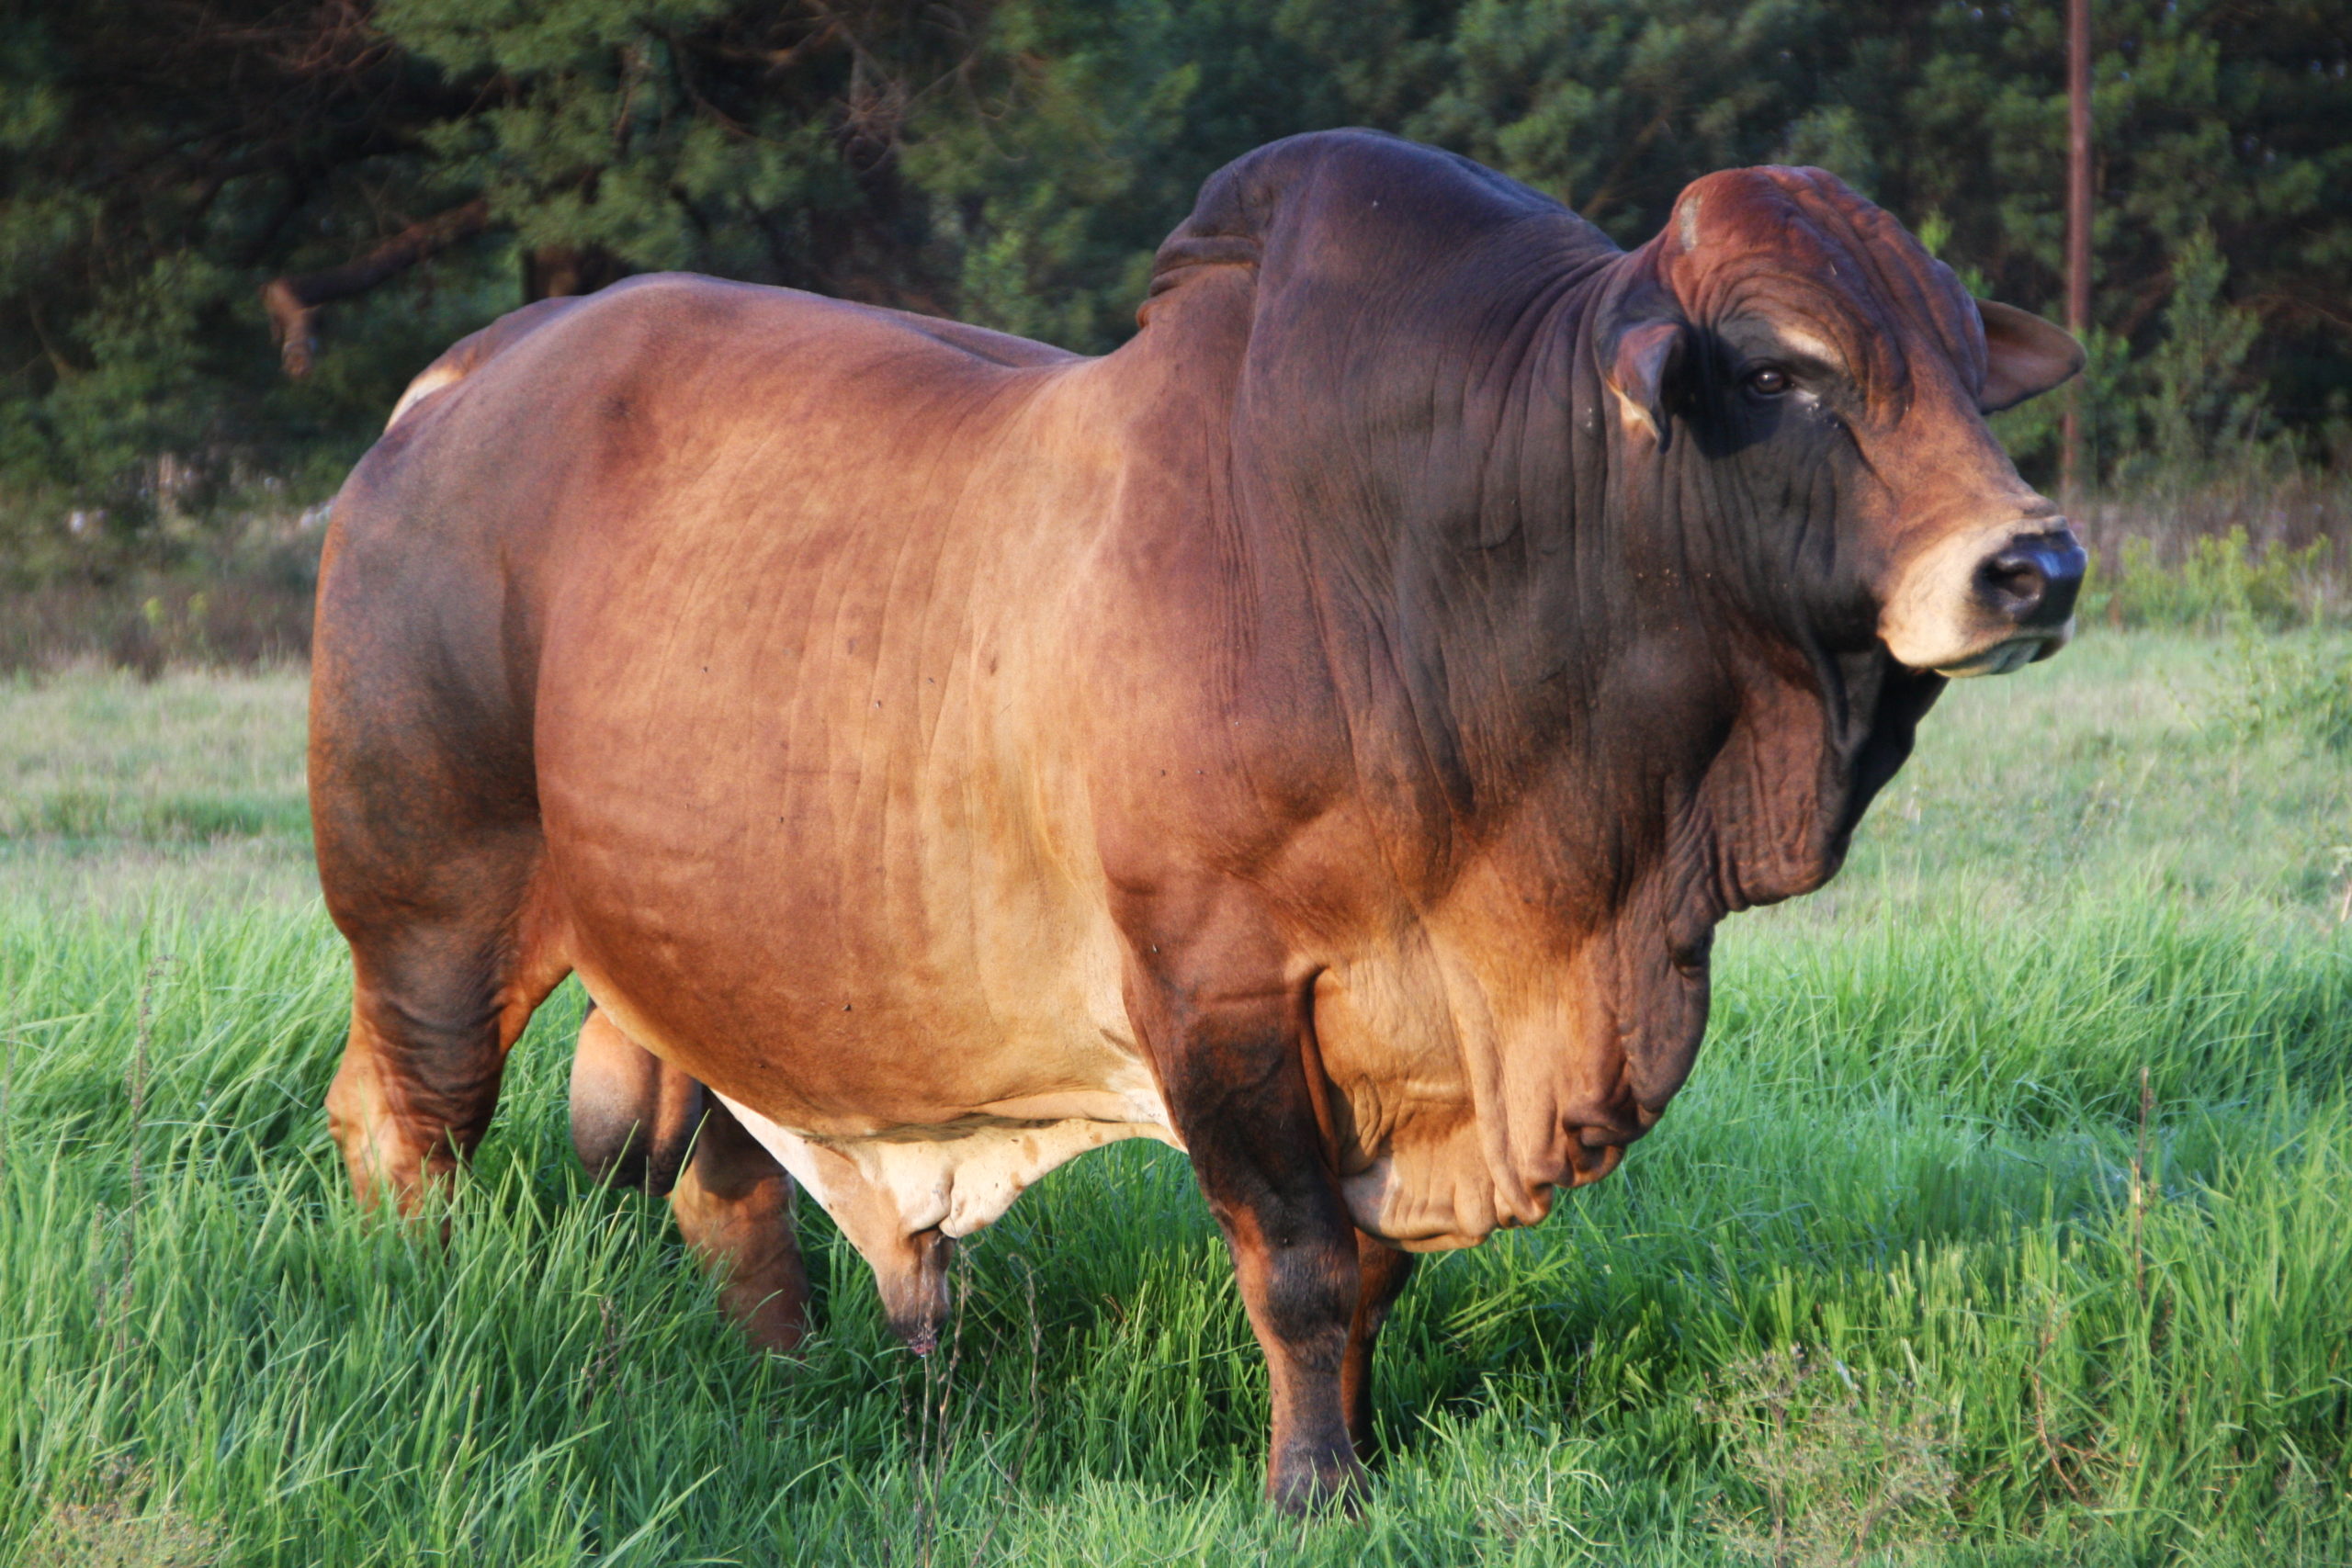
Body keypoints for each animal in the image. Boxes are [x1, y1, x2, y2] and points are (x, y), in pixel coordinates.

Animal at [309, 130, 2084, 1510]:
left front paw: (1360, 1450)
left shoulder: (1395, 1050)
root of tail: (466, 374)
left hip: (718, 951)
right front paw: (1314, 1488)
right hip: (432, 907)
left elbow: (1367, 1279)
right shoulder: (1216, 990)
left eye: (1964, 366)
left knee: (715, 1173)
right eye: (1783, 371)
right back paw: (425, 1307)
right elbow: (1295, 1265)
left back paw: (791, 1374)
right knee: (406, 1122)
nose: (2036, 562)